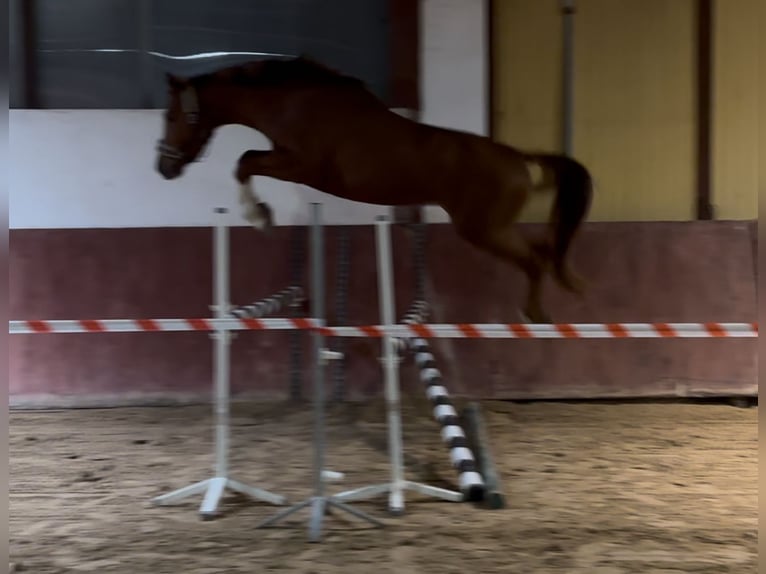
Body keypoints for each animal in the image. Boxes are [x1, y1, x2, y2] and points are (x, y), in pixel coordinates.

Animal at [155, 56, 593, 323]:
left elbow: (245, 161)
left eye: (172, 115)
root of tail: (519, 159)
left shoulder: (302, 166)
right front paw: (261, 216)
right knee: (545, 251)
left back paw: (535, 315)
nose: (163, 167)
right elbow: (246, 160)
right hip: (491, 229)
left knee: (535, 259)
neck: (295, 101)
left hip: (483, 230)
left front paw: (260, 217)